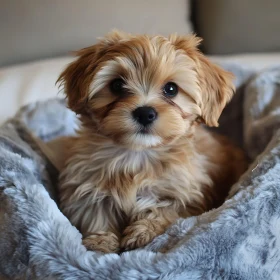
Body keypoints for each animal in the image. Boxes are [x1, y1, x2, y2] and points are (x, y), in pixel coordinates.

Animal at [57, 30, 247, 254]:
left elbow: (165, 211)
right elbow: (96, 215)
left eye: (171, 89)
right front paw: (100, 242)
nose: (145, 113)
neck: (137, 154)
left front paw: (143, 232)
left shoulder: (184, 193)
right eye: (116, 85)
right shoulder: (87, 188)